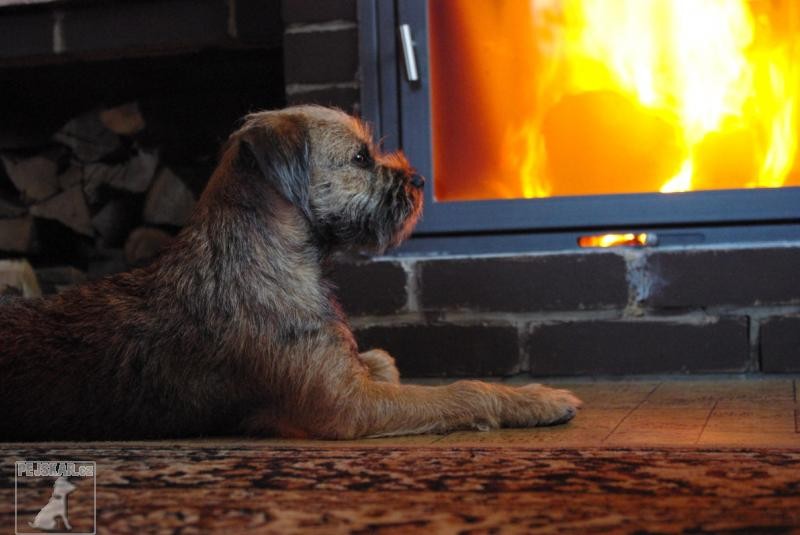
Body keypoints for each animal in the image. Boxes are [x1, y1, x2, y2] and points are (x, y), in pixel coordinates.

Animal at [0, 104, 580, 440]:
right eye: (360, 158)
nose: (417, 180)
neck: (265, 255)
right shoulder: (350, 408)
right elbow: (461, 391)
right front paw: (536, 398)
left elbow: (381, 361)